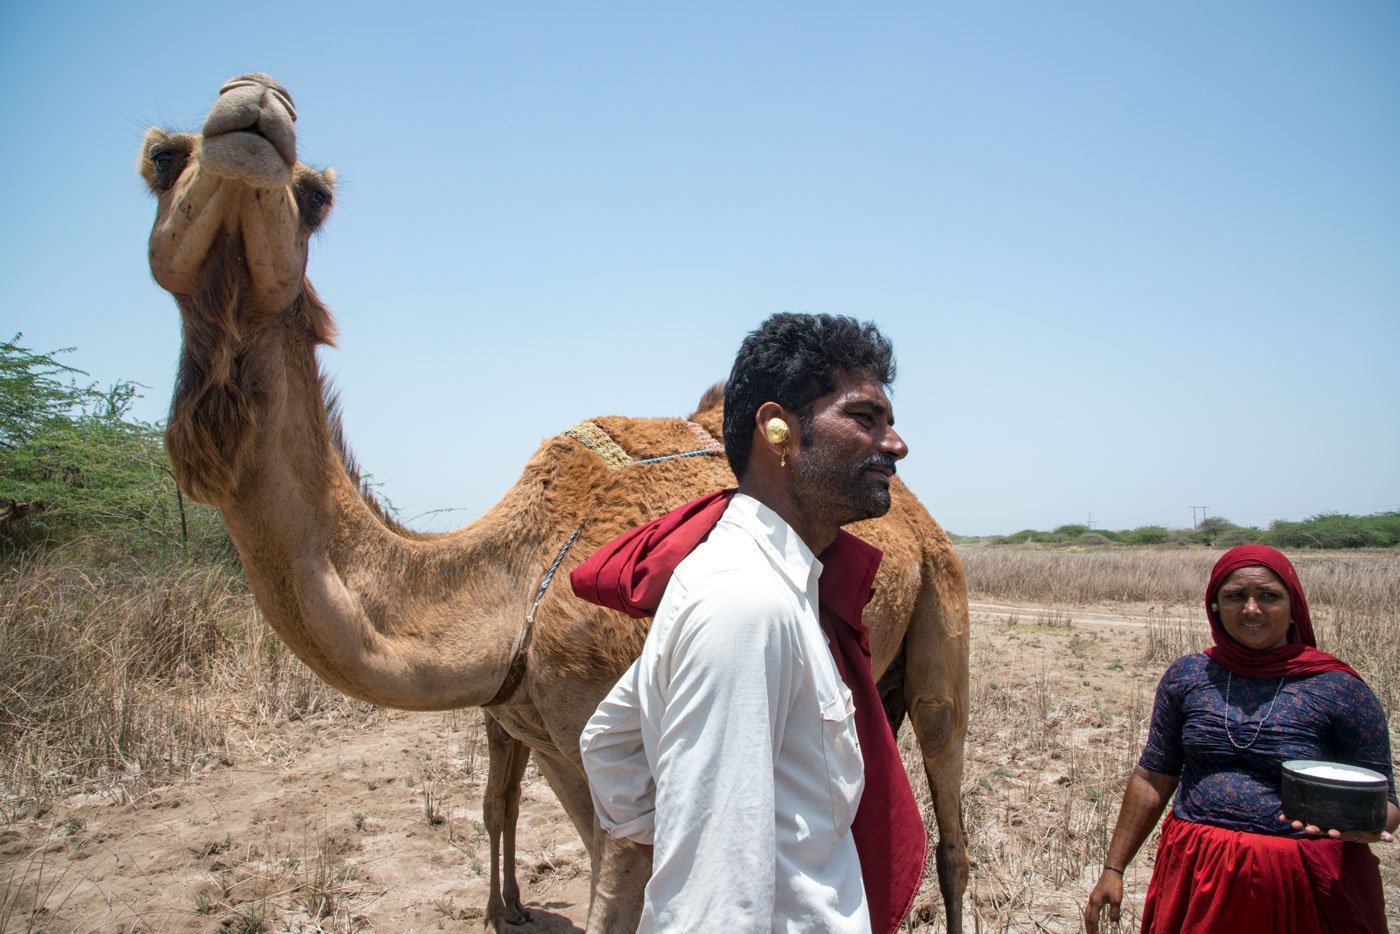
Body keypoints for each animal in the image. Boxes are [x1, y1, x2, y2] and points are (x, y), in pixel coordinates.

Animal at [142, 74, 974, 934]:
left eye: (315, 198)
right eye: (161, 160)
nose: (255, 103)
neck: (517, 591)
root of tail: (919, 520)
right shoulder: (553, 744)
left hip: (944, 611)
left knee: (948, 804)